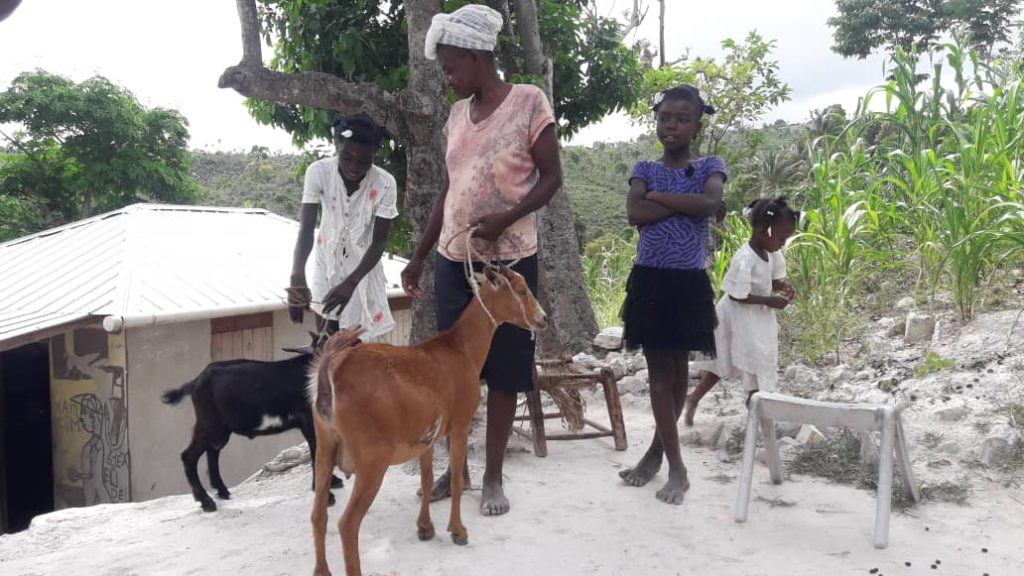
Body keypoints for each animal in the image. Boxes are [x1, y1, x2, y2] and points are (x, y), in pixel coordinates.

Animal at [161, 344, 342, 510]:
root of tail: (195, 382)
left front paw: (333, 482)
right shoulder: (310, 422)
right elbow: (317, 452)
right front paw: (326, 496)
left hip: (220, 430)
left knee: (212, 451)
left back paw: (222, 491)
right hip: (210, 424)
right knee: (189, 456)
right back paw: (206, 501)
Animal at [307, 266, 548, 573]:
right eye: (520, 290)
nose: (543, 318)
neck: (461, 350)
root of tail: (331, 372)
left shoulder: (427, 436)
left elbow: (426, 477)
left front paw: (425, 528)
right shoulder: (460, 424)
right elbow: (456, 479)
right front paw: (458, 531)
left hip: (324, 448)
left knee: (318, 515)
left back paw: (321, 570)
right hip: (372, 459)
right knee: (348, 523)